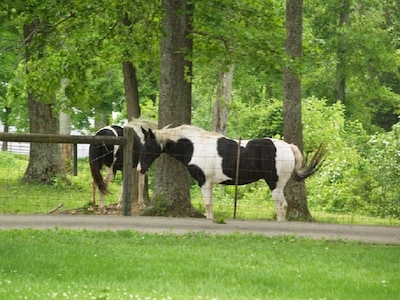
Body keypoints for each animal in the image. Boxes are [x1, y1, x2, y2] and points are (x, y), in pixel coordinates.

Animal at [138, 124, 324, 220]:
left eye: (148, 145)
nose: (140, 168)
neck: (196, 145)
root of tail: (288, 146)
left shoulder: (204, 182)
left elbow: (208, 205)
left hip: (275, 185)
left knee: (282, 206)